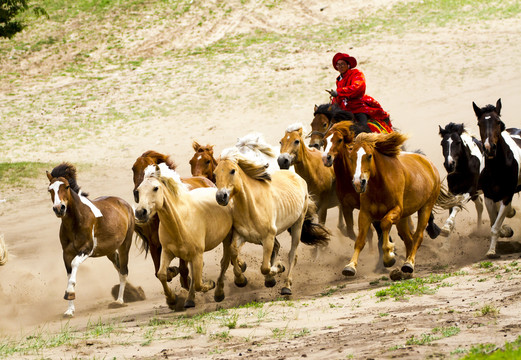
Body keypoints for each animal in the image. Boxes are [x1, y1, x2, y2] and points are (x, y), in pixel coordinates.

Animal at [47, 162, 135, 316]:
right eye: (49, 190)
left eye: (66, 187)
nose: (59, 208)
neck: (75, 222)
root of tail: (124, 203)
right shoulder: (66, 253)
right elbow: (69, 275)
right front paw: (69, 310)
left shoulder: (86, 249)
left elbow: (75, 265)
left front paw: (69, 293)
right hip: (110, 251)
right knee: (118, 268)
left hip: (125, 245)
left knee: (124, 271)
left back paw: (119, 301)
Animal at [131, 149, 214, 290]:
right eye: (133, 169)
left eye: (151, 166)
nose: (137, 193)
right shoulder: (154, 245)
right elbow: (158, 272)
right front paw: (172, 271)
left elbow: (183, 270)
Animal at [134, 165, 244, 308]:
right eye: (138, 191)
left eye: (155, 188)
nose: (140, 212)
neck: (179, 223)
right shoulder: (167, 252)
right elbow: (162, 274)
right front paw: (172, 300)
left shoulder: (197, 254)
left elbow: (197, 283)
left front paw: (210, 284)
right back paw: (190, 300)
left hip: (227, 237)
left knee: (226, 260)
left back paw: (230, 285)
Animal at [342, 132, 442, 276]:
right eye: (351, 157)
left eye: (369, 155)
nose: (358, 183)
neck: (380, 185)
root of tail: (429, 164)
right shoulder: (365, 214)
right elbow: (360, 240)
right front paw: (350, 266)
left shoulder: (396, 210)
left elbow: (385, 224)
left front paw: (389, 257)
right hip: (404, 217)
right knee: (408, 239)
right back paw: (406, 269)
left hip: (426, 207)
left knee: (418, 236)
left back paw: (409, 263)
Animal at [472, 97, 520, 256]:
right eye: (479, 123)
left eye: (498, 121)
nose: (489, 148)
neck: (497, 168)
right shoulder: (489, 196)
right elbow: (494, 223)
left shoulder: (507, 195)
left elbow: (495, 226)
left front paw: (492, 251)